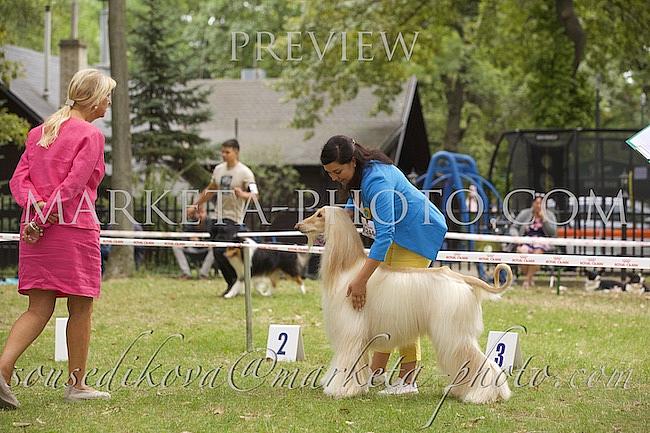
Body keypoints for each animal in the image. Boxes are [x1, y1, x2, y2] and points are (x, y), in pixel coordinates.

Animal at [295, 206, 513, 403]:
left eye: (319, 215)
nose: (298, 225)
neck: (348, 268)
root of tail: (462, 278)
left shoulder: (351, 331)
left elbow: (346, 361)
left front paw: (340, 389)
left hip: (453, 333)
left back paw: (482, 394)